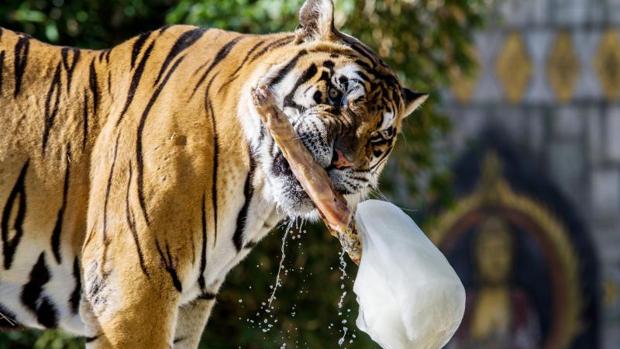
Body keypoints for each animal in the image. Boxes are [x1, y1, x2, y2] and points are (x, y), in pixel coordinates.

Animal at [0, 0, 426, 346]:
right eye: (336, 94)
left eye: (379, 136)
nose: (343, 160)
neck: (256, 195)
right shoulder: (132, 287)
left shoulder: (188, 305)